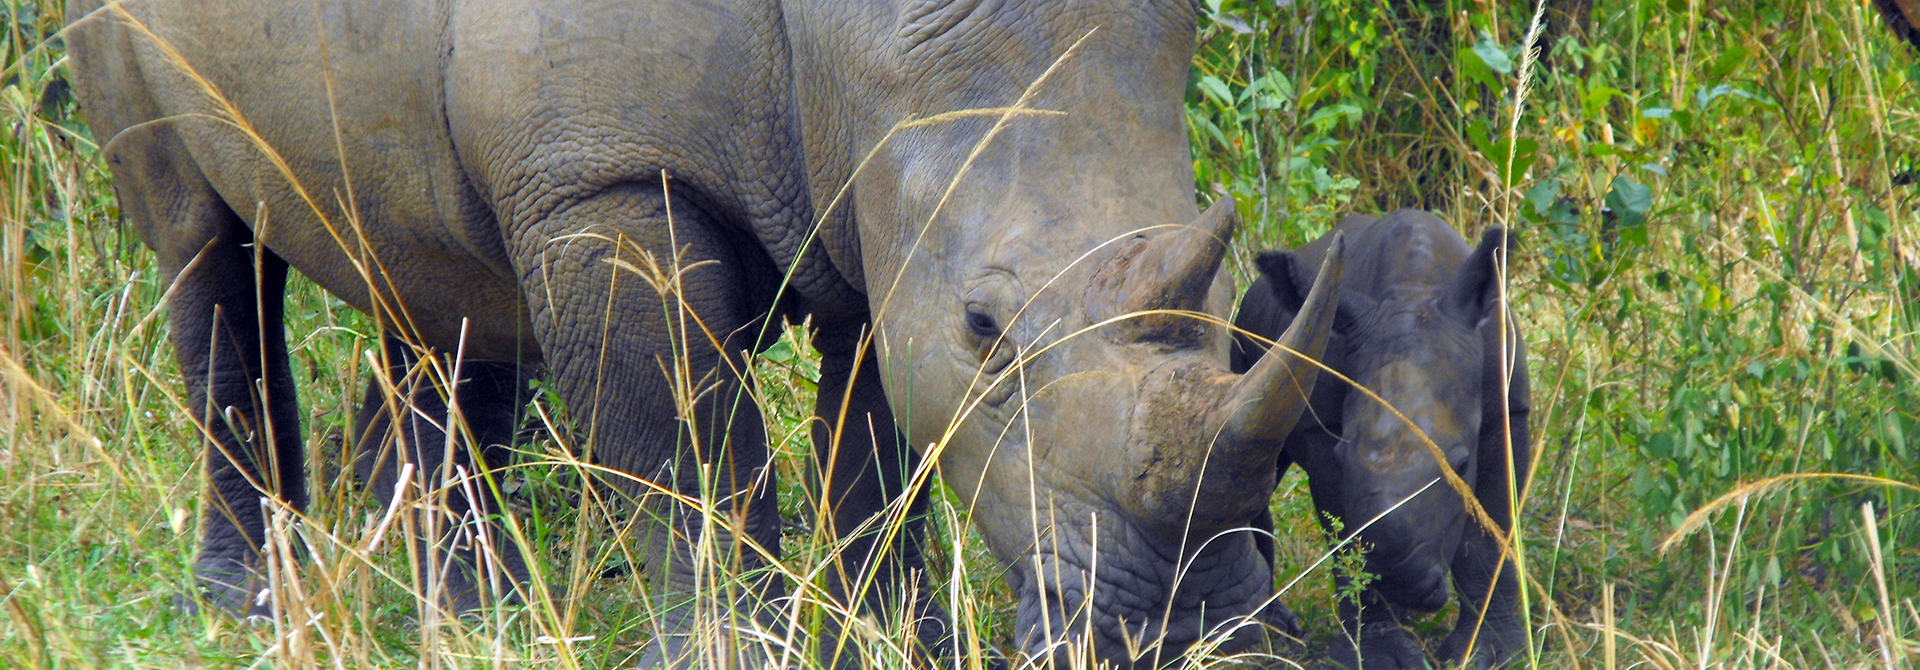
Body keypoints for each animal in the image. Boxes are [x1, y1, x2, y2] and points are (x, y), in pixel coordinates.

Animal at [66, 0, 1346, 665]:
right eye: (987, 328)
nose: (1196, 635)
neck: (861, 46)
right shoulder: (604, 181)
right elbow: (693, 448)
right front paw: (731, 650)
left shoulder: (864, 193)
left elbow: (873, 453)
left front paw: (902, 640)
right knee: (204, 250)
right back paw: (247, 607)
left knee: (439, 283)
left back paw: (475, 624)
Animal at [1231, 210, 1532, 669]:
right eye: (1342, 457)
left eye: (1462, 465)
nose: (1400, 582)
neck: (1414, 290)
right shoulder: (1322, 432)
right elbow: (1346, 538)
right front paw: (1378, 654)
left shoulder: (1507, 410)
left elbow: (1490, 535)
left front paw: (1493, 653)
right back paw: (1273, 627)